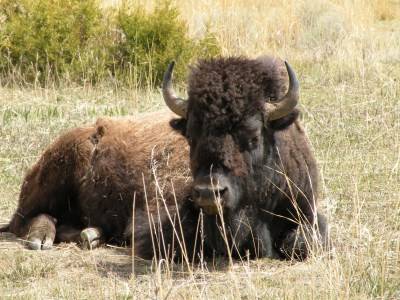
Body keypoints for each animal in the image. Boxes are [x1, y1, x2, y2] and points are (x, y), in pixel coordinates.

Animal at [0, 55, 328, 260]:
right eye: (191, 135)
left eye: (253, 135)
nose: (209, 192)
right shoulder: (156, 220)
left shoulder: (308, 213)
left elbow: (304, 243)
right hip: (53, 177)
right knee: (25, 218)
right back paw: (41, 239)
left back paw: (90, 235)